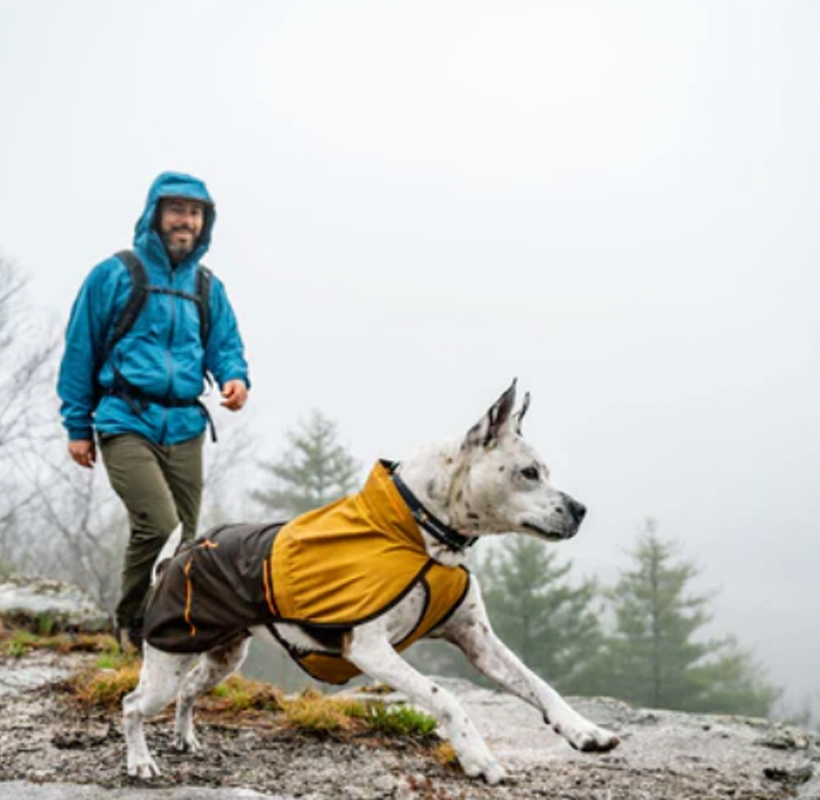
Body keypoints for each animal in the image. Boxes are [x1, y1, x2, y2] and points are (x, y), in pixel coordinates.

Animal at [125, 382, 620, 780]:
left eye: (544, 471)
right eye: (529, 473)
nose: (580, 509)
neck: (422, 533)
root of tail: (180, 555)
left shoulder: (478, 641)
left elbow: (539, 684)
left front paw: (584, 730)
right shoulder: (371, 650)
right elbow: (445, 697)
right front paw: (478, 758)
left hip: (222, 657)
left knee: (189, 691)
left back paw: (185, 738)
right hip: (168, 660)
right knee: (133, 705)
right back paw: (141, 762)